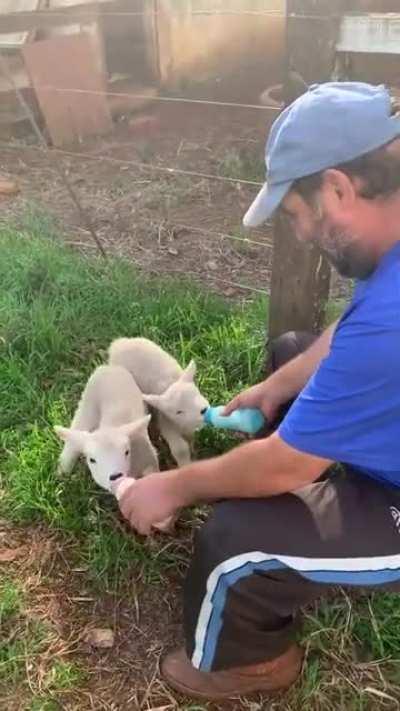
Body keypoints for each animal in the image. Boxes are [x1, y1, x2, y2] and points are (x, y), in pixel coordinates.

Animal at [108, 337, 209, 466]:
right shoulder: (166, 421)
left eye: (196, 393)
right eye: (178, 411)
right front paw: (186, 465)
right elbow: (180, 449)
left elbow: (190, 438)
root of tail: (119, 343)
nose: (204, 410)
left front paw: (194, 454)